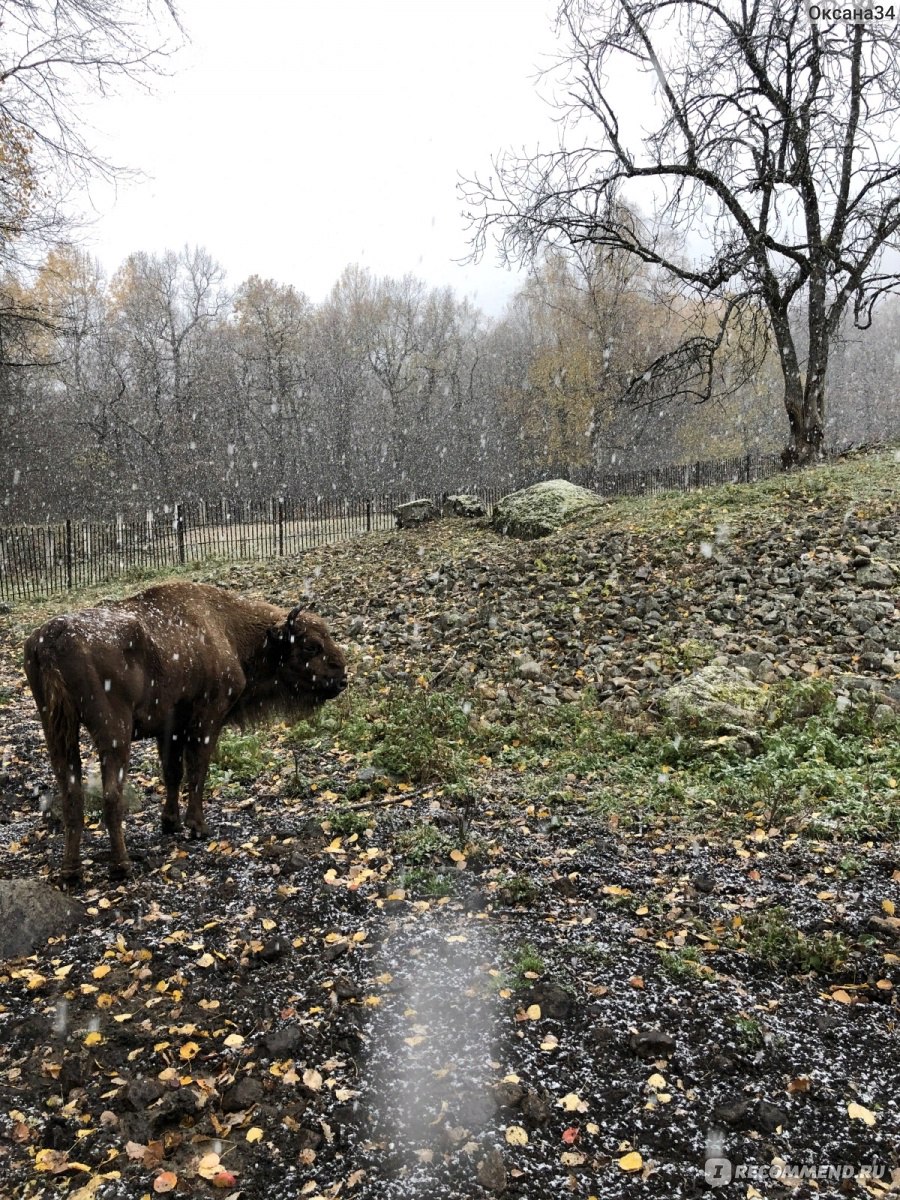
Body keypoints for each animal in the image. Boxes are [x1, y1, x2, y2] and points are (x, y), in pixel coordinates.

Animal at [24, 580, 348, 883]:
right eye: (310, 645)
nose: (341, 679)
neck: (228, 628)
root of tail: (53, 637)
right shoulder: (206, 721)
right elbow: (197, 771)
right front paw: (198, 826)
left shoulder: (169, 731)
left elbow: (172, 773)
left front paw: (170, 823)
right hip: (114, 732)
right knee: (111, 793)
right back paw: (121, 866)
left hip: (57, 729)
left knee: (71, 791)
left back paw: (71, 871)